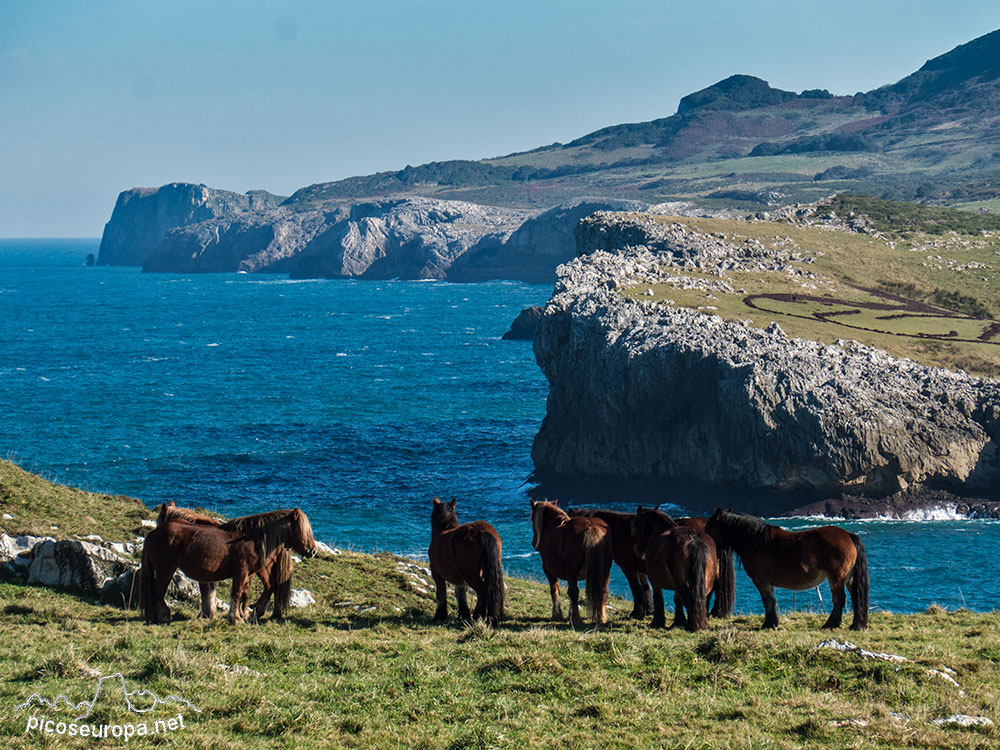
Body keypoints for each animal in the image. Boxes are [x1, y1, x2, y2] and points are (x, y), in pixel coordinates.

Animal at [141, 508, 316, 624]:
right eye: (302, 530)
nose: (313, 550)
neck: (251, 538)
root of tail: (153, 534)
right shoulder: (241, 572)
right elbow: (236, 593)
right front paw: (235, 618)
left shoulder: (246, 573)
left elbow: (241, 594)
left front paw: (237, 616)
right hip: (165, 570)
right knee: (158, 591)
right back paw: (163, 616)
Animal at [430, 500, 508, 628]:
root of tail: (481, 532)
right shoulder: (458, 578)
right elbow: (461, 595)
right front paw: (463, 615)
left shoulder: (437, 575)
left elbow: (441, 594)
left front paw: (440, 615)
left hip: (471, 574)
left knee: (483, 591)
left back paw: (479, 615)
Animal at [528, 502, 612, 632]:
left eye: (532, 519)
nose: (534, 543)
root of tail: (591, 528)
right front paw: (569, 614)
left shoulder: (548, 570)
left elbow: (555, 589)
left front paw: (557, 615)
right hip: (605, 570)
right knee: (603, 591)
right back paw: (601, 618)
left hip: (572, 571)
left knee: (574, 592)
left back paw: (576, 620)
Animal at [568, 512, 740, 624]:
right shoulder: (641, 569)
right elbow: (646, 588)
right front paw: (648, 610)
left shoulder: (628, 567)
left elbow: (636, 588)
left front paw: (638, 612)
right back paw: (714, 612)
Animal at [704, 508, 868, 632]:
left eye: (708, 529)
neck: (755, 542)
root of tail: (849, 535)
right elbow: (772, 601)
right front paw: (772, 623)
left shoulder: (761, 580)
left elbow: (768, 601)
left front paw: (768, 624)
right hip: (848, 578)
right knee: (855, 597)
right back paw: (855, 625)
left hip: (836, 579)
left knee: (840, 600)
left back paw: (830, 624)